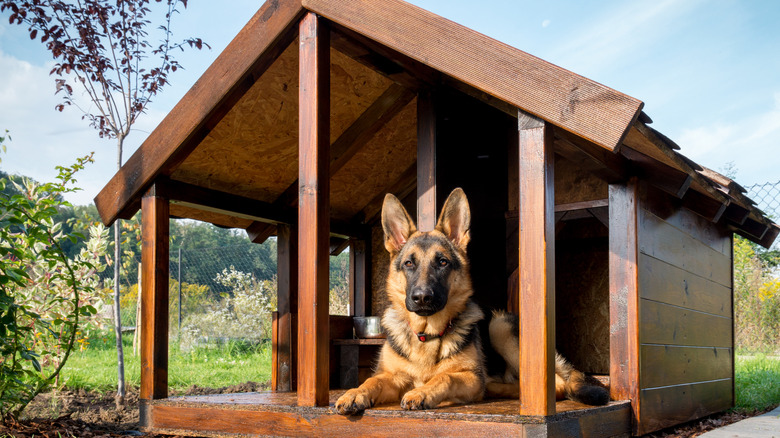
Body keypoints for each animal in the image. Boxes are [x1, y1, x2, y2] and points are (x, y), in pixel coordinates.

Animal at [336, 188, 608, 414]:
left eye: (442, 262)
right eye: (409, 263)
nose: (422, 297)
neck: (427, 335)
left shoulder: (467, 376)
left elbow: (445, 377)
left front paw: (422, 392)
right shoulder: (393, 376)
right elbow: (372, 380)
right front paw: (354, 393)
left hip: (499, 326)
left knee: (557, 384)